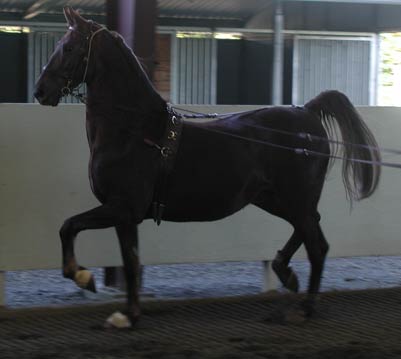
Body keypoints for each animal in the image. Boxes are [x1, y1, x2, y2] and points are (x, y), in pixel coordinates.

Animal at [33, 7, 378, 330]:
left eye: (68, 48)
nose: (40, 91)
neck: (133, 132)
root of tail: (306, 112)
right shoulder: (124, 215)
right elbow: (125, 258)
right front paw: (123, 309)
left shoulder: (122, 208)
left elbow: (74, 230)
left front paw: (91, 284)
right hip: (278, 199)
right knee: (310, 231)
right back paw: (285, 272)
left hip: (294, 199)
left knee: (317, 245)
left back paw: (304, 308)